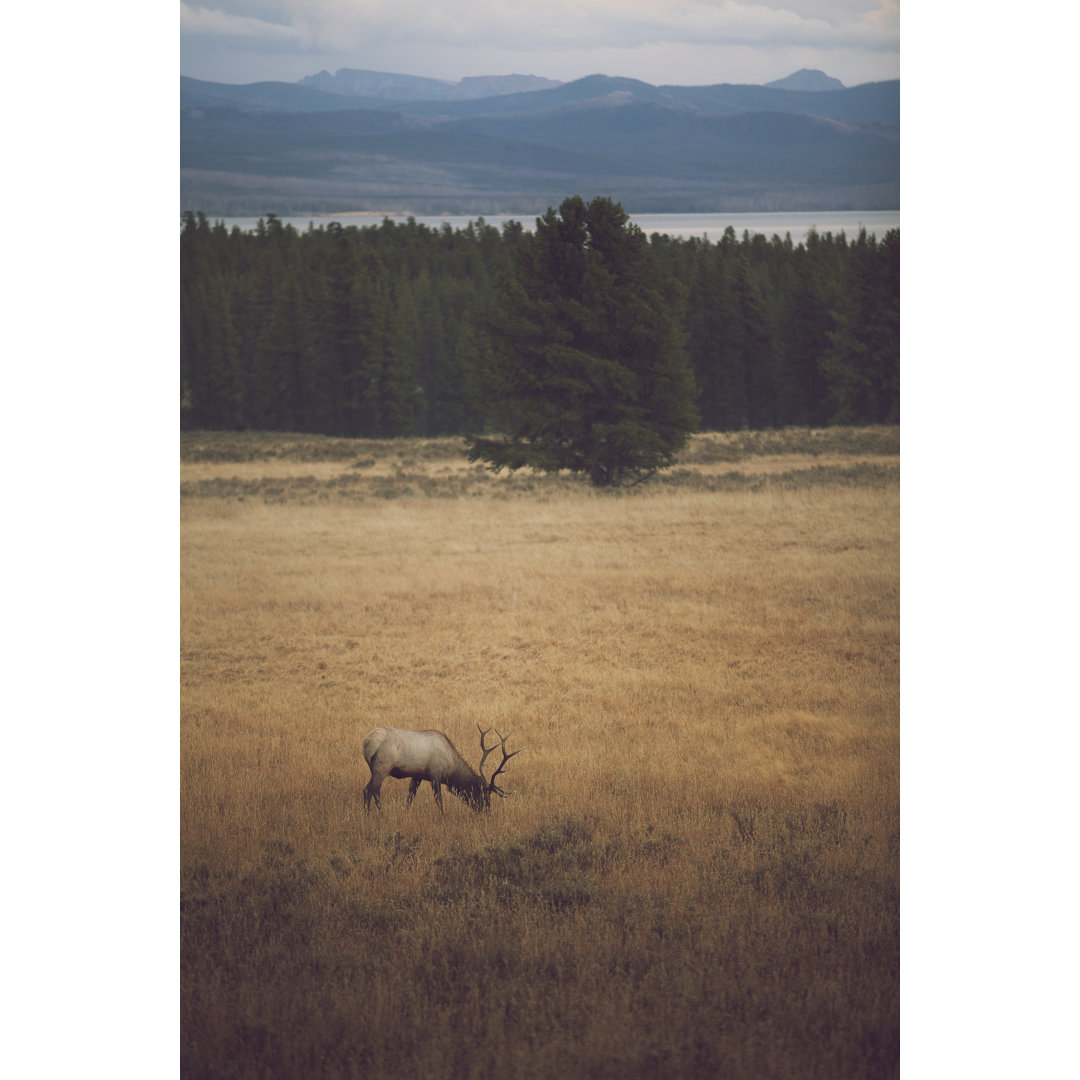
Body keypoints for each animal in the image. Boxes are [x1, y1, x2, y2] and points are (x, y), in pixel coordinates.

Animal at [362, 721, 522, 812]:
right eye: (483, 794)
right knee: (368, 790)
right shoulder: (435, 775)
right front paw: (443, 817)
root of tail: (366, 741)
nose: (487, 812)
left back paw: (381, 814)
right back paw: (369, 816)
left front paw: (405, 813)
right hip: (382, 767)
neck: (451, 769)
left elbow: (410, 797)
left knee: (376, 791)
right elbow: (439, 801)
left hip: (375, 769)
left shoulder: (417, 775)